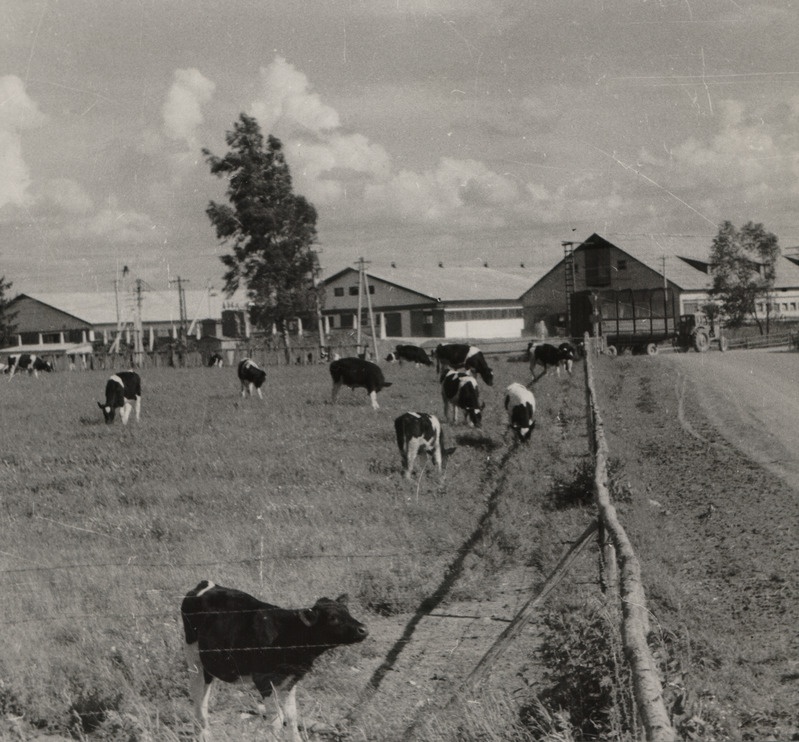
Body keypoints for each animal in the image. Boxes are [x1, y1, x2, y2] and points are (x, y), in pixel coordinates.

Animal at [181, 580, 368, 742]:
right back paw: (202, 733)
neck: (289, 633)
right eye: (333, 618)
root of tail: (207, 584)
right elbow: (277, 719)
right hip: (193, 655)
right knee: (198, 695)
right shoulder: (264, 679)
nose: (364, 629)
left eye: (348, 612)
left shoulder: (290, 679)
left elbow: (291, 716)